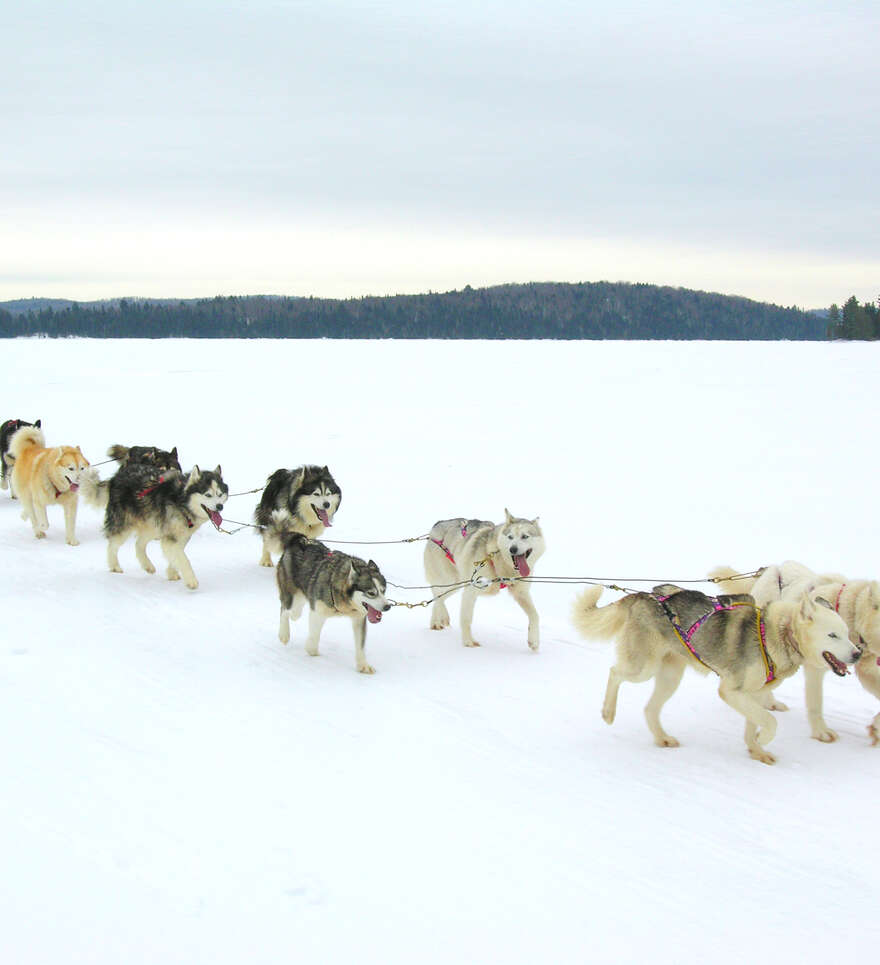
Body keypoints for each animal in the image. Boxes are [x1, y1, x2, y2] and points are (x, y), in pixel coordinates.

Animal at [95, 460, 227, 588]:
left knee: (139, 543)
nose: (220, 506)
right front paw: (191, 580)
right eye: (208, 495)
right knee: (112, 544)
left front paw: (172, 572)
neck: (181, 501)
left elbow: (177, 555)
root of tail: (116, 477)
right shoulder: (171, 537)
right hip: (124, 525)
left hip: (153, 525)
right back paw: (114, 566)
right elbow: (183, 559)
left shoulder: (182, 536)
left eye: (220, 494)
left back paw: (147, 565)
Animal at [274, 528, 386, 672]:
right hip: (294, 602)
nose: (388, 606)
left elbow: (360, 646)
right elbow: (313, 638)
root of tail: (300, 540)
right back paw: (284, 634)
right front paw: (311, 650)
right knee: (286, 610)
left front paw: (363, 665)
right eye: (371, 593)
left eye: (383, 590)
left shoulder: (359, 619)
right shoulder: (317, 612)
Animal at [424, 508, 544, 652]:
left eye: (525, 536)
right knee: (437, 595)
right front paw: (468, 642)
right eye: (510, 537)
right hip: (449, 580)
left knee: (438, 596)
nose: (513, 549)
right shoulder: (470, 591)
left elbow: (535, 615)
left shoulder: (521, 593)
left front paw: (534, 641)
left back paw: (437, 620)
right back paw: (440, 618)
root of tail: (438, 524)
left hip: (456, 584)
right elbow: (466, 618)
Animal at [572, 584, 860, 764]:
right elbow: (770, 721)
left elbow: (755, 722)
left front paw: (756, 749)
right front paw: (763, 739)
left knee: (649, 709)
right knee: (614, 673)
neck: (775, 633)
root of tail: (646, 596)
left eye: (846, 633)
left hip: (669, 678)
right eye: (832, 635)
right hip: (643, 668)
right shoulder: (731, 691)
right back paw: (608, 712)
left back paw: (662, 737)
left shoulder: (753, 695)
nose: (857, 653)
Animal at [708, 560, 880, 740]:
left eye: (845, 633)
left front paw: (876, 726)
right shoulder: (815, 668)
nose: (857, 654)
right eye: (833, 635)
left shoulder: (867, 670)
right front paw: (821, 732)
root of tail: (773, 568)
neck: (852, 609)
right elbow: (815, 702)